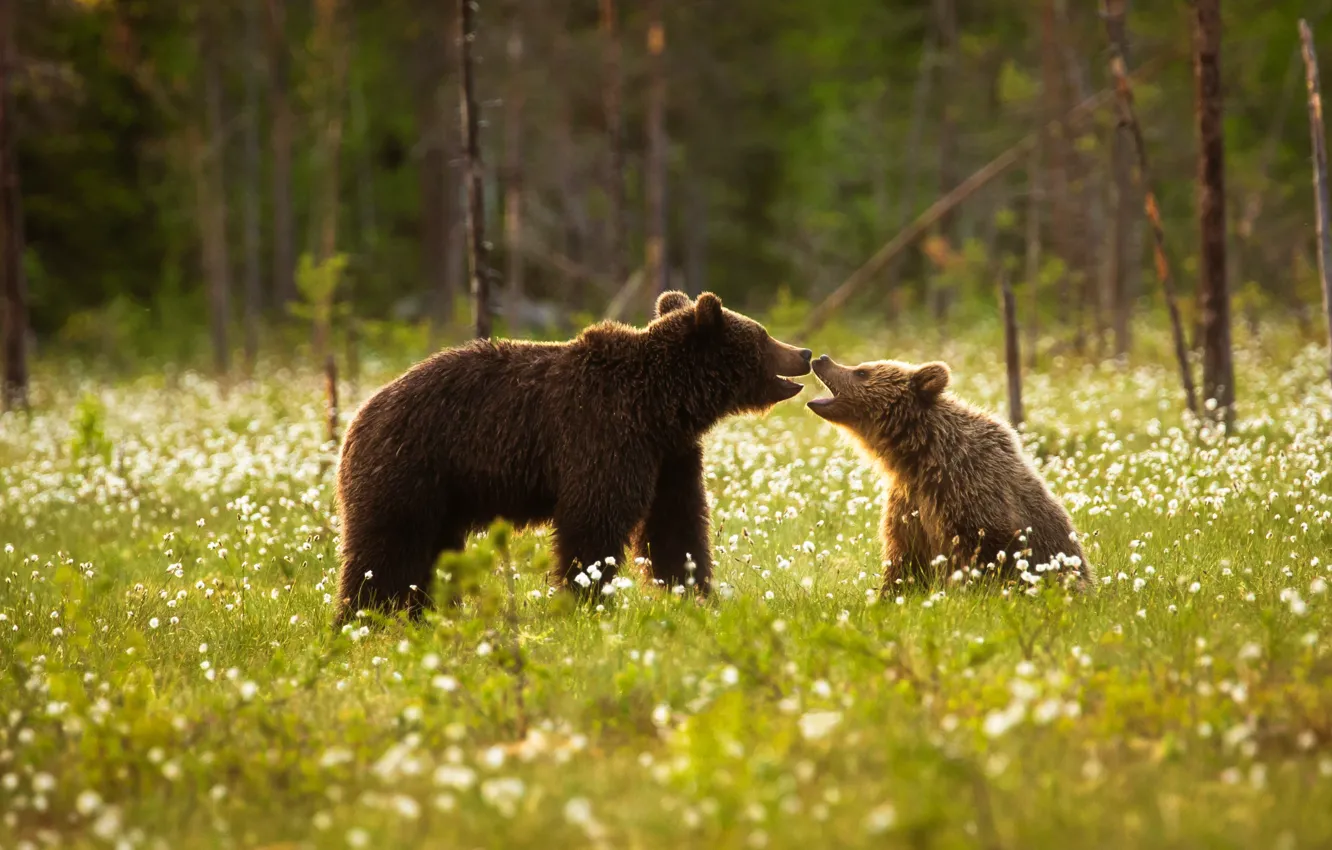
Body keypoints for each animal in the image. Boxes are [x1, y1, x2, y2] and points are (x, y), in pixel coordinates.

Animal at [334, 290, 812, 625]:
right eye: (763, 335)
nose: (805, 353)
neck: (663, 406)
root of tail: (357, 418)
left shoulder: (669, 457)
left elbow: (676, 524)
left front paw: (694, 591)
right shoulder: (602, 435)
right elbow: (593, 520)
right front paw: (584, 599)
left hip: (443, 496)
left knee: (431, 554)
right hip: (410, 468)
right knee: (386, 549)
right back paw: (361, 617)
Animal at [806, 355, 1092, 593]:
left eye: (861, 371)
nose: (821, 359)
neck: (918, 457)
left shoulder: (968, 489)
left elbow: (984, 553)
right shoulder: (909, 503)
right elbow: (904, 559)